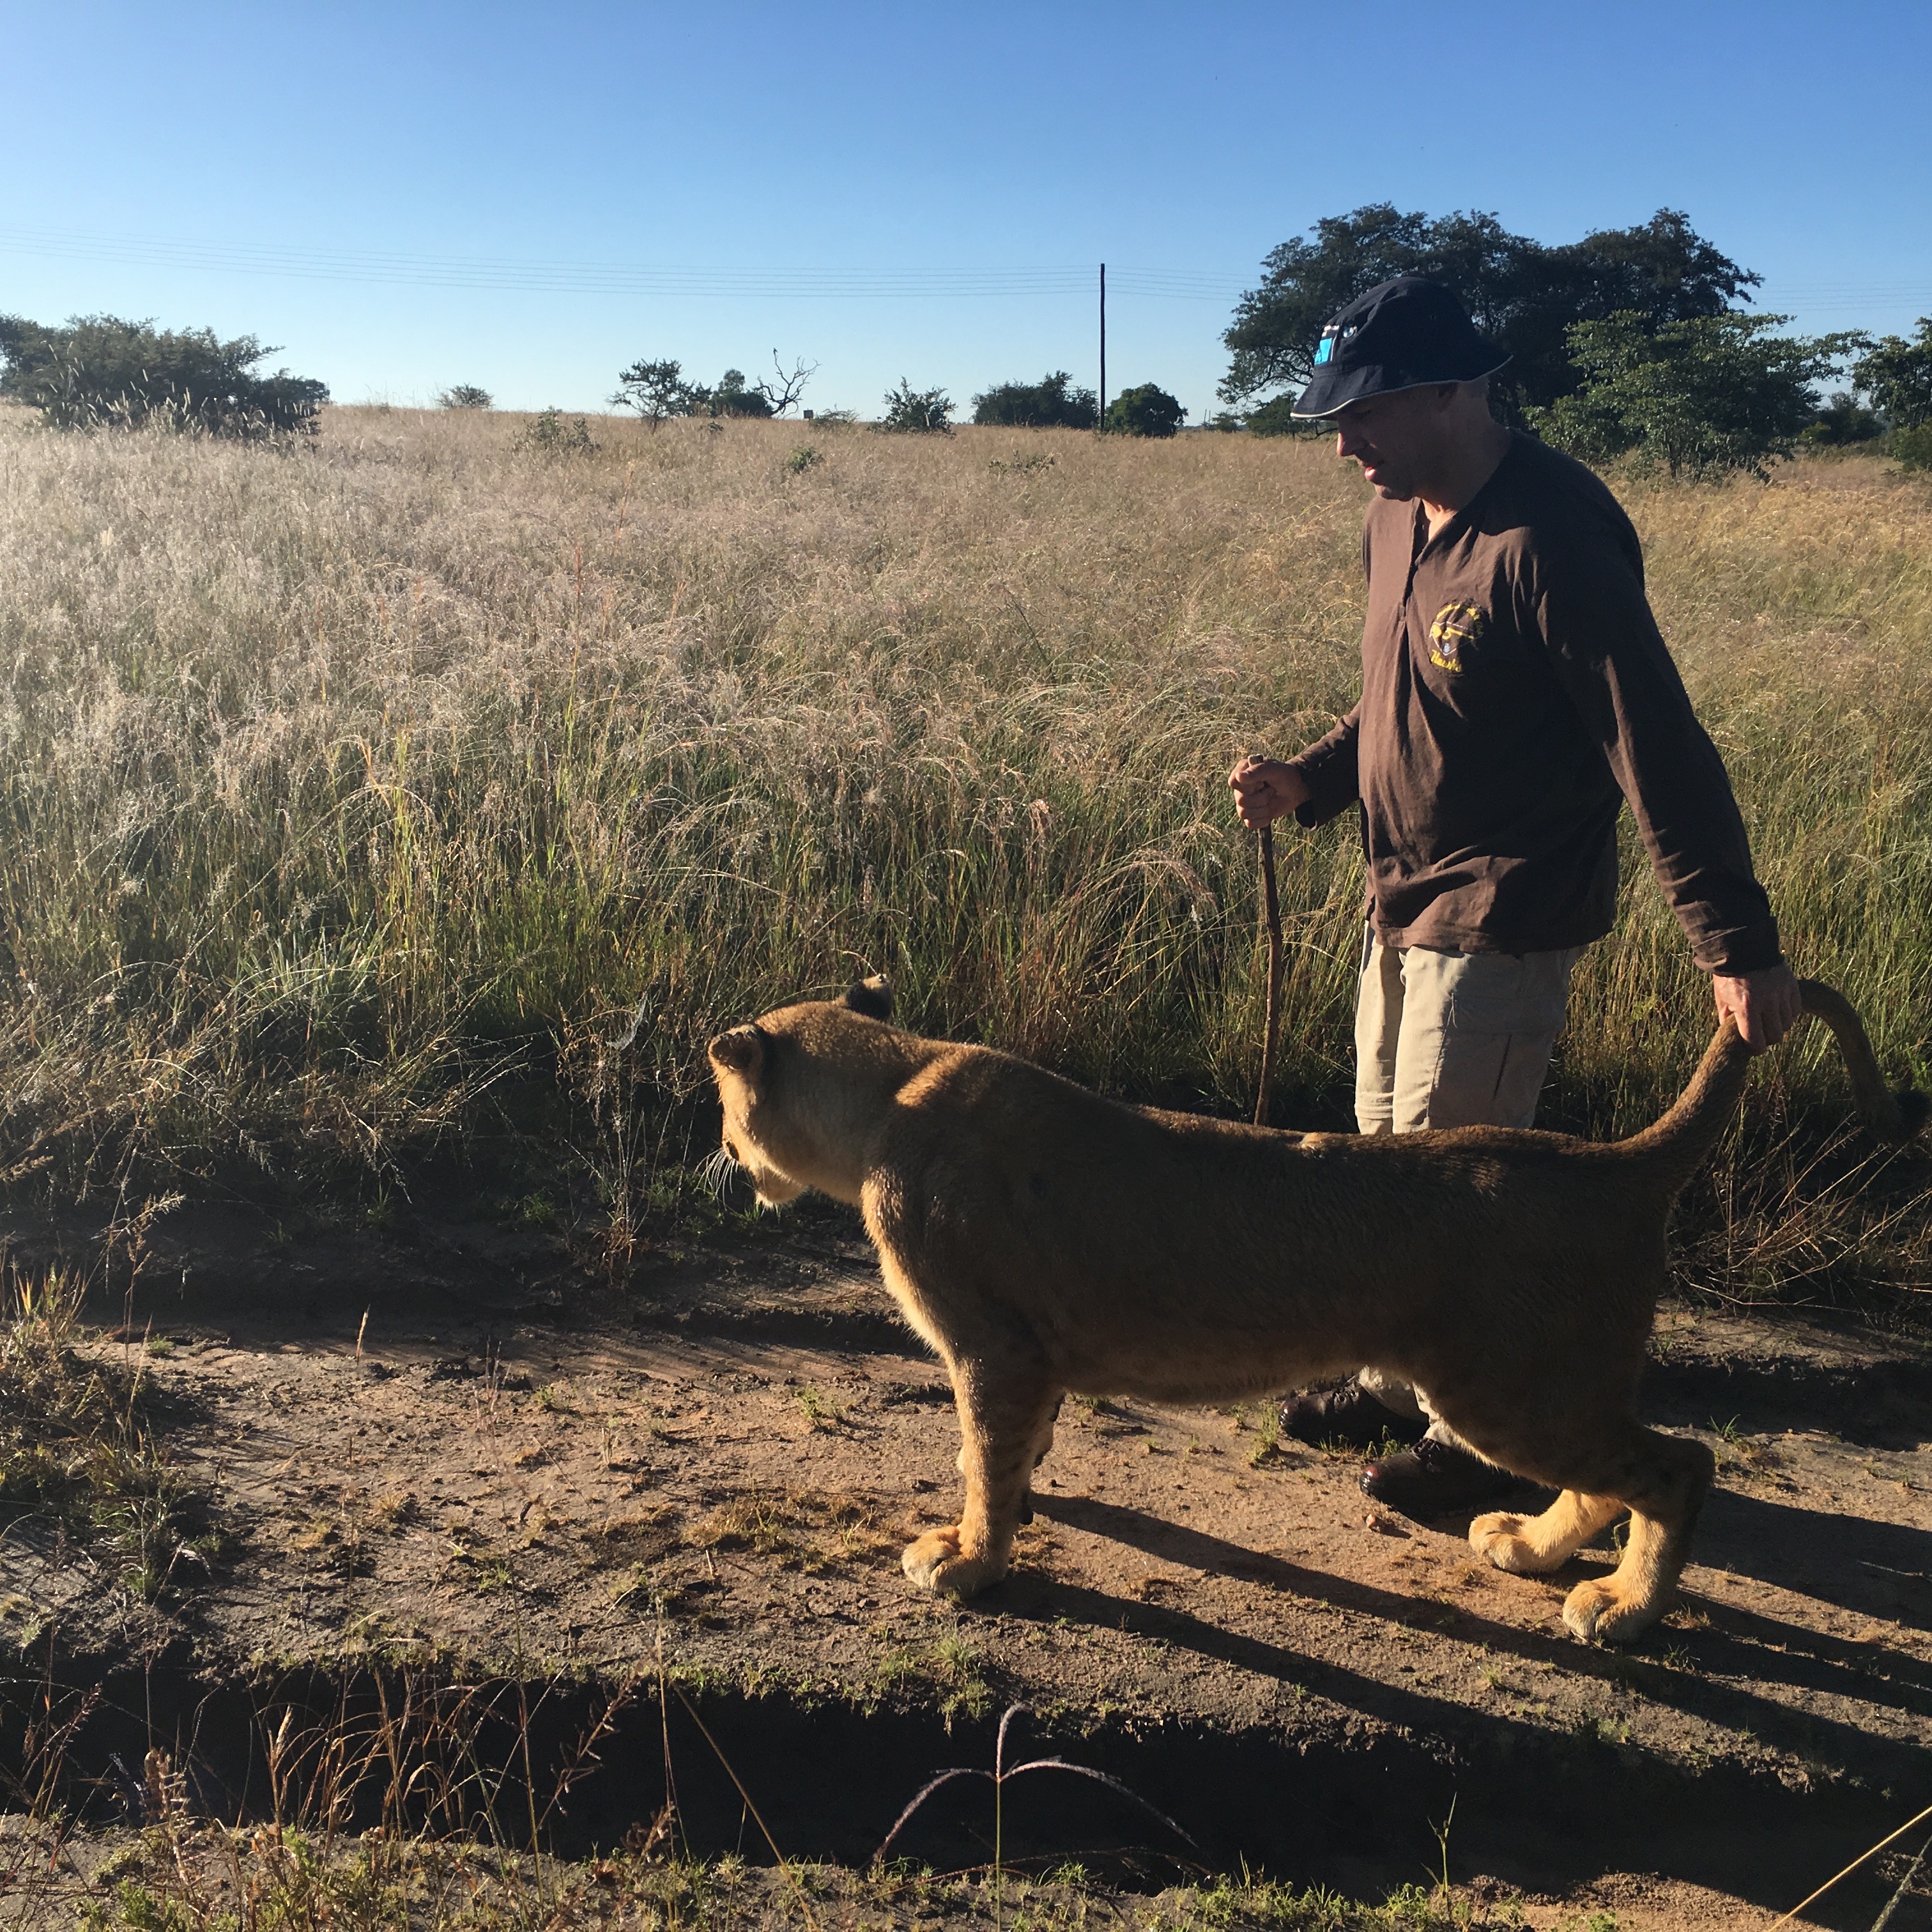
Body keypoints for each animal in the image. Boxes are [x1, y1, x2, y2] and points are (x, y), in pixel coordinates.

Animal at [706, 975, 1923, 1642]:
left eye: (722, 1106)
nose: (721, 1160)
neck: (888, 1092)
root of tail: (1611, 1160)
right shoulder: (1026, 1356)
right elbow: (1010, 1450)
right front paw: (1021, 1507)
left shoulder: (993, 1344)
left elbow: (981, 1458)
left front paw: (968, 1561)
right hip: (1545, 1382)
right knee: (1608, 1474)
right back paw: (1529, 1550)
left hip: (1507, 1385)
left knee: (1680, 1464)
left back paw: (1621, 1609)